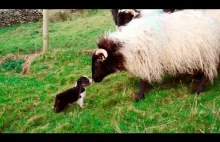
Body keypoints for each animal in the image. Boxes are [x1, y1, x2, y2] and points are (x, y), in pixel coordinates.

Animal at [91, 9, 220, 102]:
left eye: (97, 63)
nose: (94, 79)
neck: (124, 47)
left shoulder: (146, 61)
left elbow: (143, 80)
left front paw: (140, 97)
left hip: (208, 53)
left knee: (207, 74)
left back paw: (197, 90)